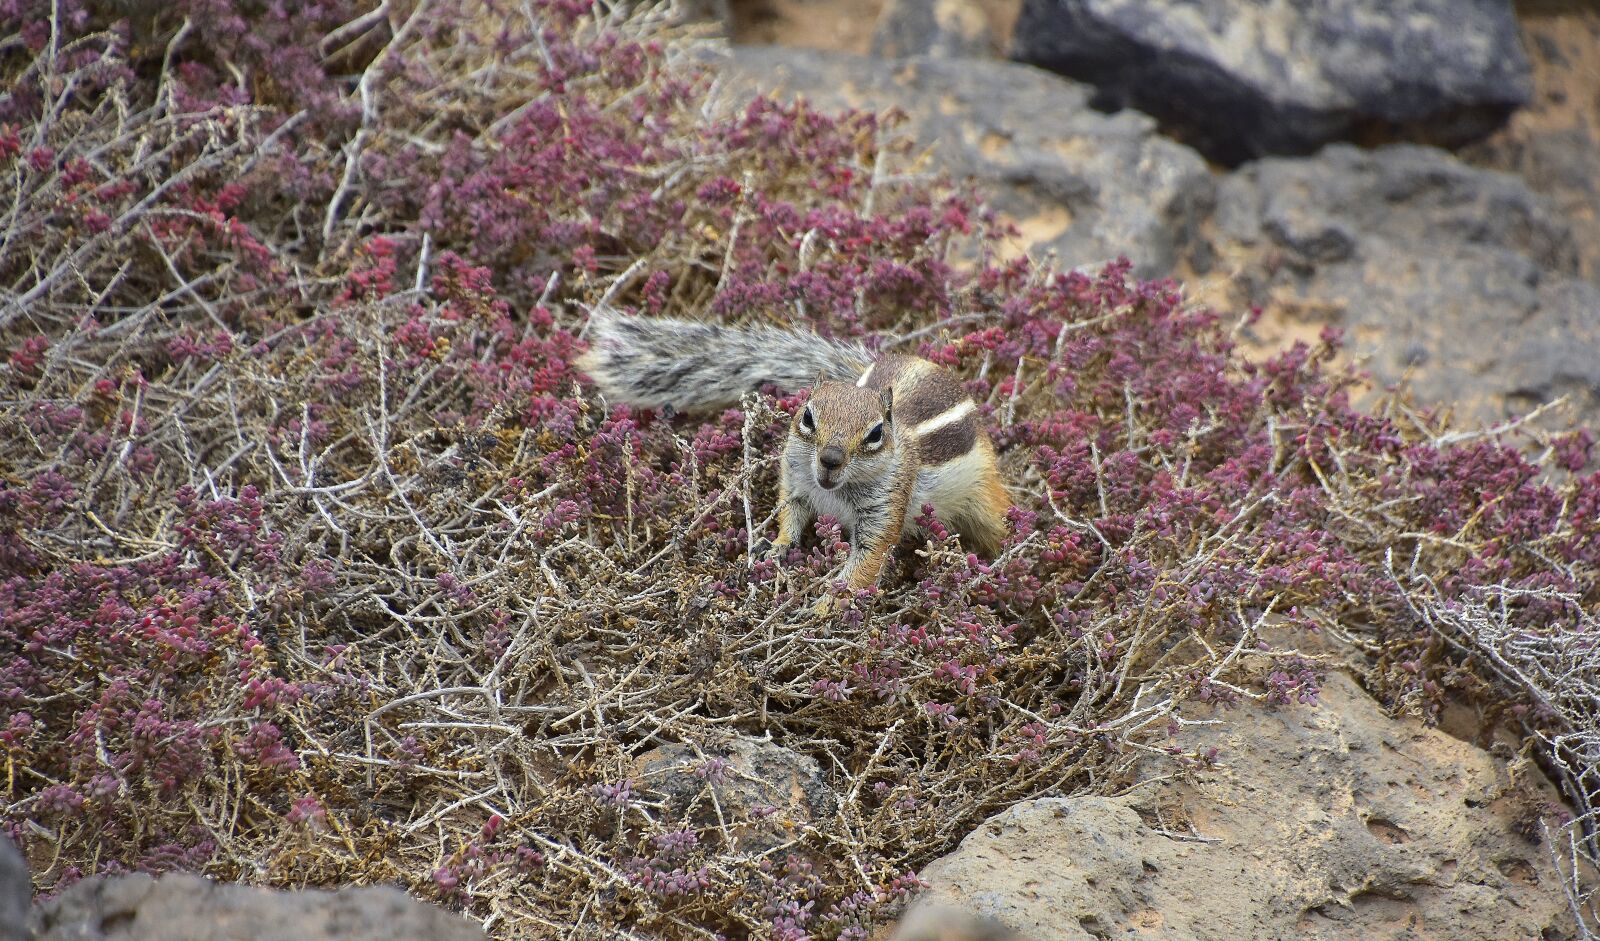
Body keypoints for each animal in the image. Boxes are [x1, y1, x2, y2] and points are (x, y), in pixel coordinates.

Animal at [577, 310, 1011, 607]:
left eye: (875, 434)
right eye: (807, 416)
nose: (831, 458)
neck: (834, 491)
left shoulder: (886, 507)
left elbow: (865, 563)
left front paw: (823, 608)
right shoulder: (796, 480)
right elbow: (791, 512)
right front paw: (778, 546)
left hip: (982, 498)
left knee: (993, 522)